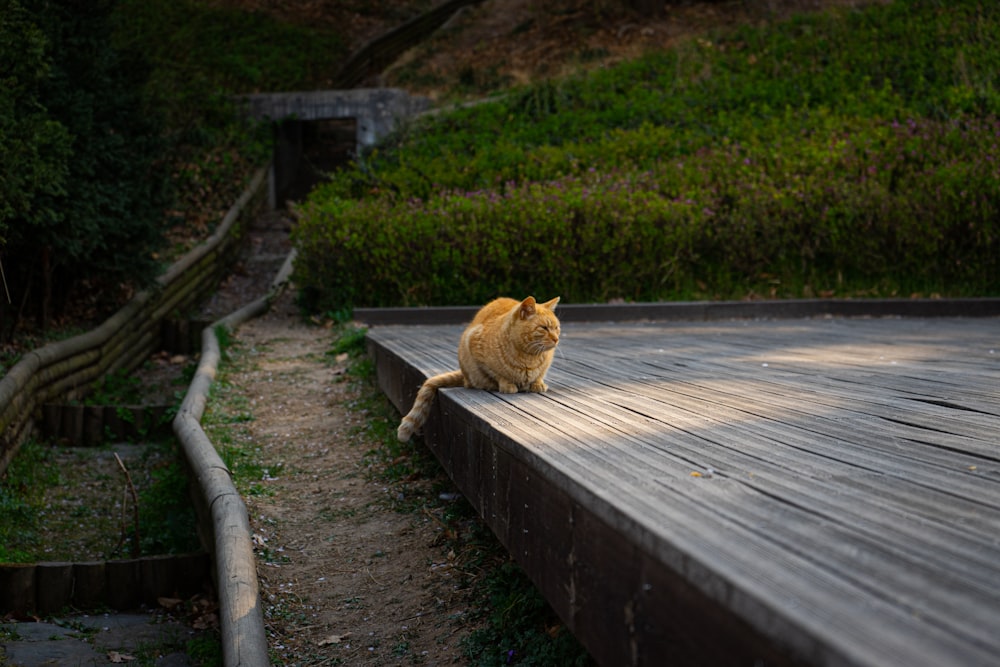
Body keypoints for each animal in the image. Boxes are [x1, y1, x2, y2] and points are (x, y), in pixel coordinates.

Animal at [394, 298, 560, 444]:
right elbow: (498, 374)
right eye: (544, 328)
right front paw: (507, 385)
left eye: (557, 328)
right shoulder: (474, 346)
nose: (557, 339)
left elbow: (539, 375)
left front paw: (538, 383)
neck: (528, 357)